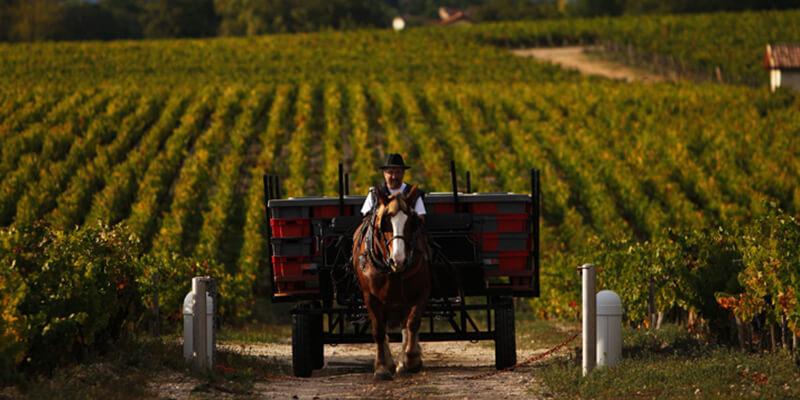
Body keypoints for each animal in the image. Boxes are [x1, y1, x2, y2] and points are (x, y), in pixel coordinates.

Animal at [354, 186, 432, 380]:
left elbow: (412, 323)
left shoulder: (422, 291)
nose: (399, 260)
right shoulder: (370, 297)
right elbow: (379, 330)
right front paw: (382, 366)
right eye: (385, 223)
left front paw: (410, 360)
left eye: (412, 222)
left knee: (406, 325)